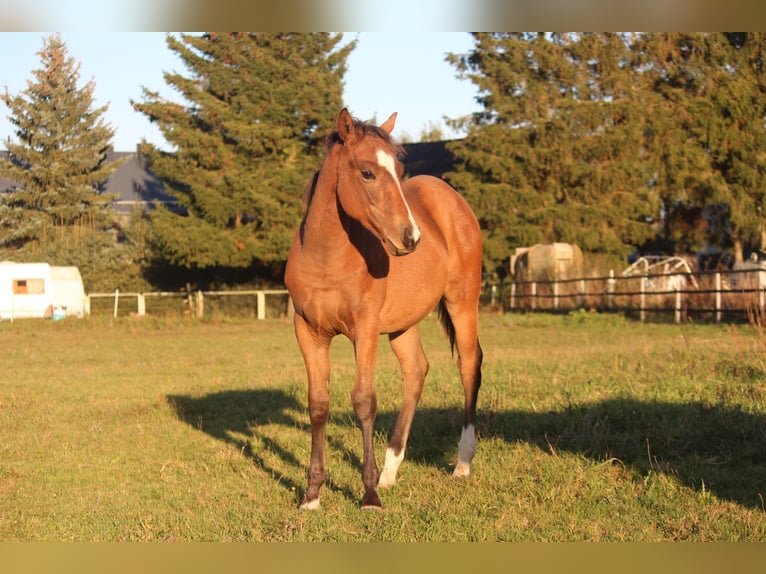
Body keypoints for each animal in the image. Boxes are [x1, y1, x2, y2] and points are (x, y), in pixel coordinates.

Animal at [284, 109, 484, 512]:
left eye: (397, 168)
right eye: (367, 172)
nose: (411, 237)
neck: (326, 261)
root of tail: (454, 201)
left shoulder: (364, 328)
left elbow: (364, 401)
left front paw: (369, 495)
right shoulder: (308, 331)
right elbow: (318, 404)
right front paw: (312, 494)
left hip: (462, 302)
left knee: (469, 365)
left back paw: (461, 463)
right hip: (404, 324)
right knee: (416, 371)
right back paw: (391, 471)